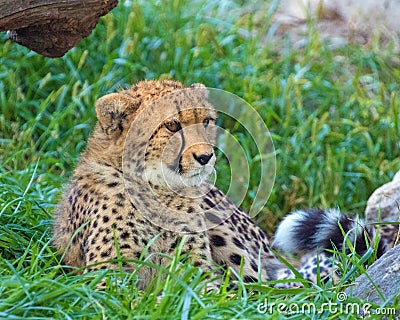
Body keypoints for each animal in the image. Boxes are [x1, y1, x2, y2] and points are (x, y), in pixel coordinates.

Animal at [52, 80, 384, 290]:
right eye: (172, 125)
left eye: (208, 121)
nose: (205, 156)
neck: (158, 189)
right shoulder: (105, 274)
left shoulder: (195, 266)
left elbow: (205, 293)